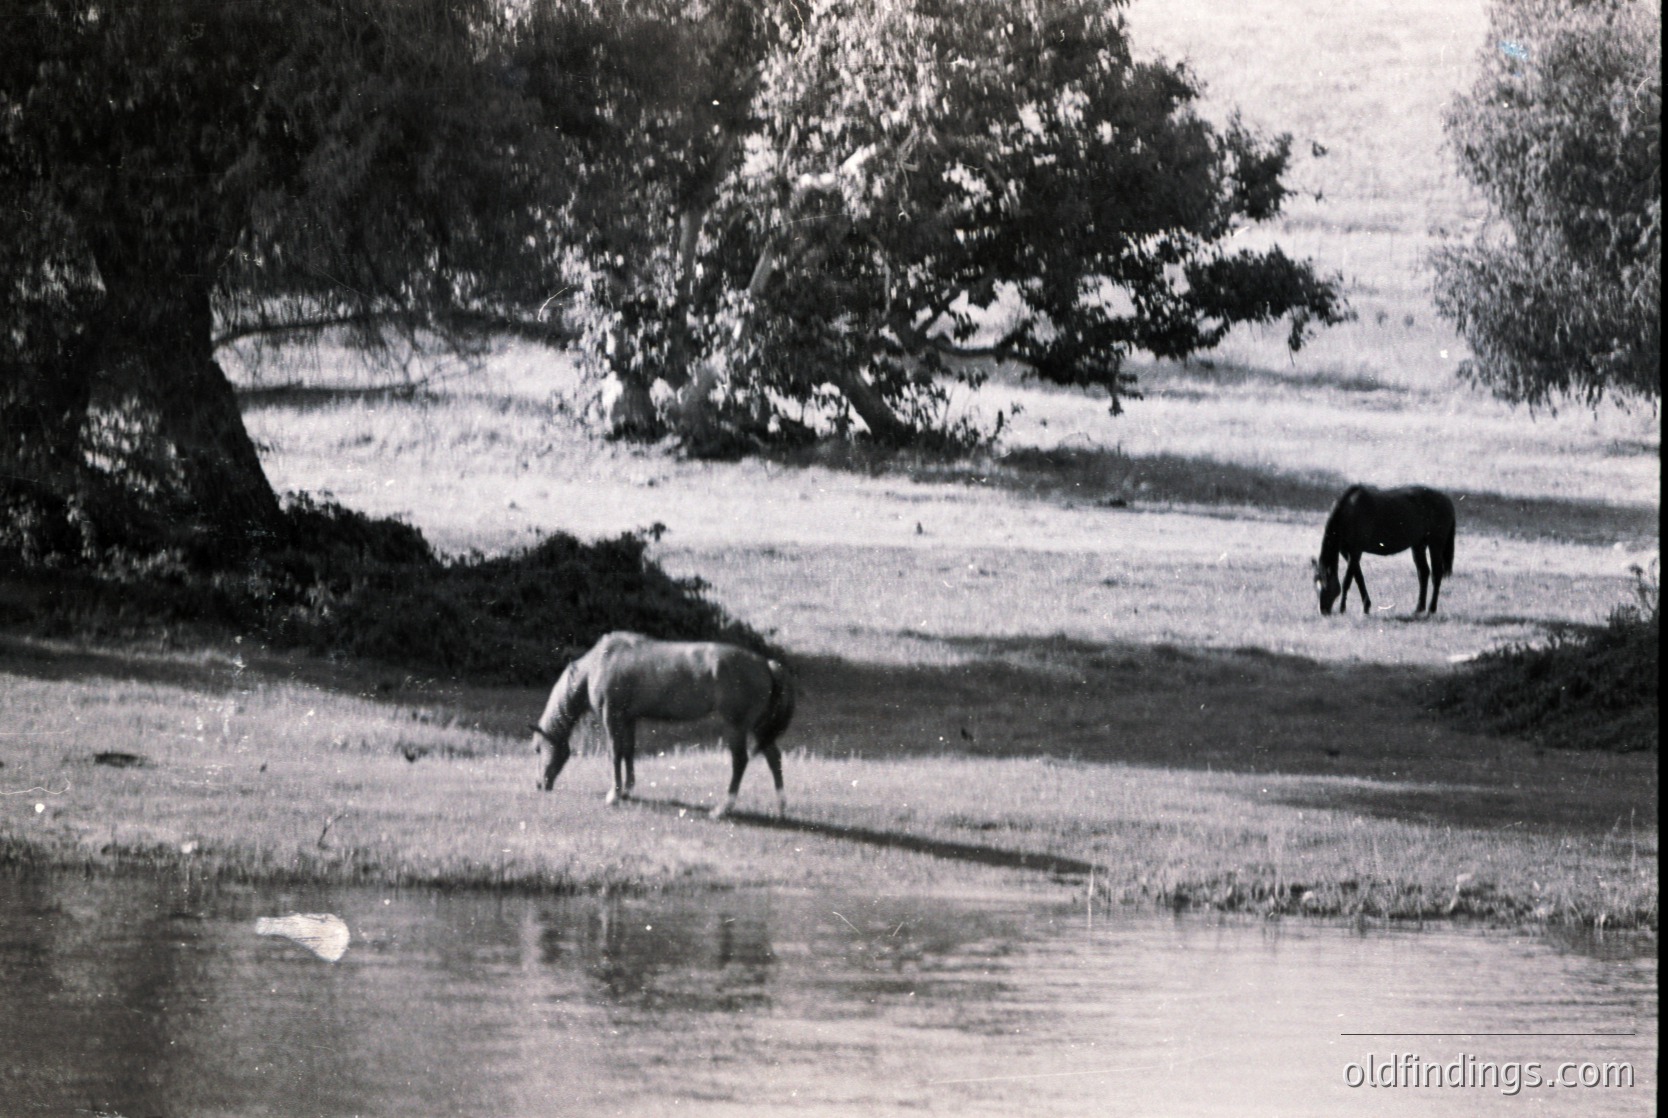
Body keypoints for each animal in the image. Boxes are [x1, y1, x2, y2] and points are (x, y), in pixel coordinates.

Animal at [529, 631, 796, 818]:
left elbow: (615, 753)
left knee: (740, 762)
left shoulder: (612, 717)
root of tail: (767, 664)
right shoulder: (629, 719)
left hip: (737, 727)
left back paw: (722, 809)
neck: (599, 663)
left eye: (538, 749)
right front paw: (627, 790)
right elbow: (628, 752)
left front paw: (614, 794)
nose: (540, 784)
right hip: (759, 728)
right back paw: (781, 807)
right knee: (774, 757)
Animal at [1312, 485, 1456, 616]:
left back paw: (1432, 609)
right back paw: (1419, 608)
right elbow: (1359, 578)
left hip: (1435, 544)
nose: (1322, 610)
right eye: (1315, 585)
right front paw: (1366, 606)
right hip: (1418, 545)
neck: (1348, 513)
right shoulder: (1347, 553)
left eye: (1325, 586)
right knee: (1423, 573)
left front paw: (1343, 608)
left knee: (1436, 574)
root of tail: (1447, 500)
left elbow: (1347, 580)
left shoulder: (1355, 552)